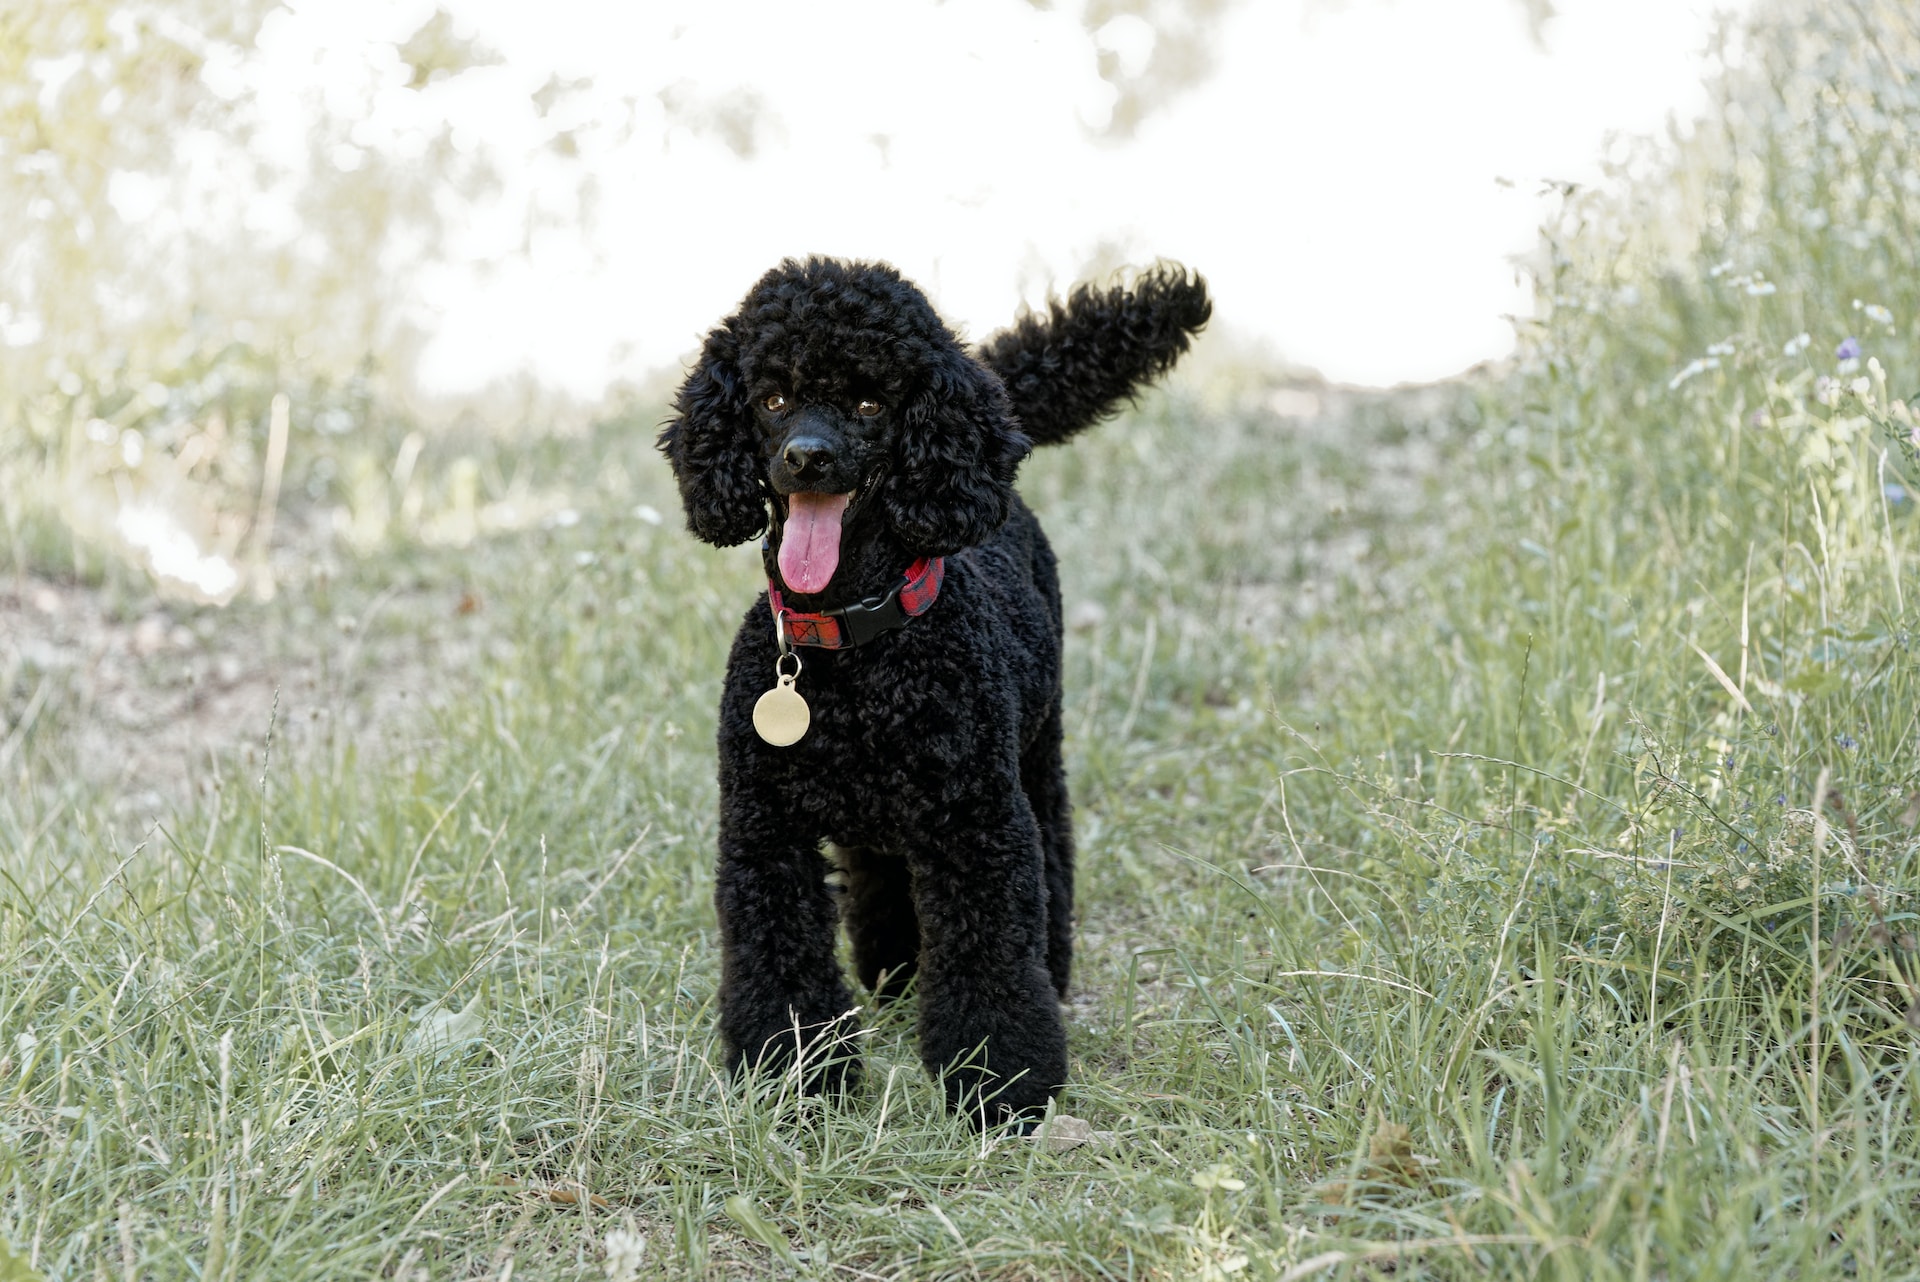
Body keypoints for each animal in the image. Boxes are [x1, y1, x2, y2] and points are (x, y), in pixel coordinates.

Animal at [656, 255, 1198, 1113]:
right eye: (771, 398)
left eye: (870, 402)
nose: (806, 457)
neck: (852, 644)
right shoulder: (764, 829)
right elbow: (780, 952)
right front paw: (796, 1078)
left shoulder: (976, 824)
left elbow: (989, 954)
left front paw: (999, 1083)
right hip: (876, 819)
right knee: (881, 876)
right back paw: (896, 972)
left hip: (1035, 754)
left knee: (1053, 852)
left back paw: (1049, 969)